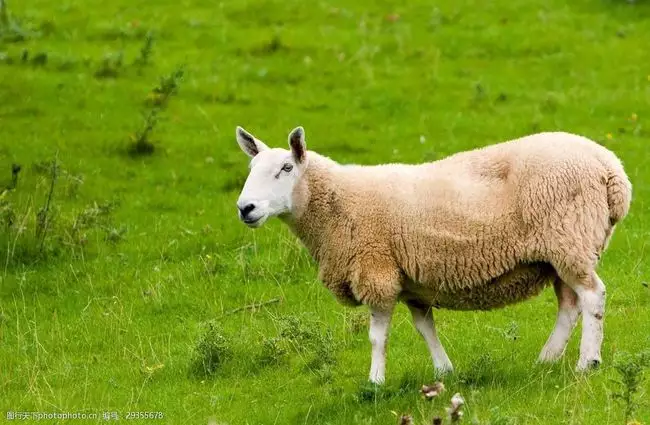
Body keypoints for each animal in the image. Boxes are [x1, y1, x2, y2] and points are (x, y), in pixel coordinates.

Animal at [232, 124, 628, 382]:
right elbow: (425, 328)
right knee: (570, 304)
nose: (245, 208)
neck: (337, 204)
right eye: (251, 169)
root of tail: (612, 170)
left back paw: (587, 363)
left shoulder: (377, 270)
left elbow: (377, 336)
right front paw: (444, 370)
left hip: (569, 237)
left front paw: (375, 383)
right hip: (562, 250)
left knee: (592, 296)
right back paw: (546, 359)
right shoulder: (412, 282)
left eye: (286, 168)